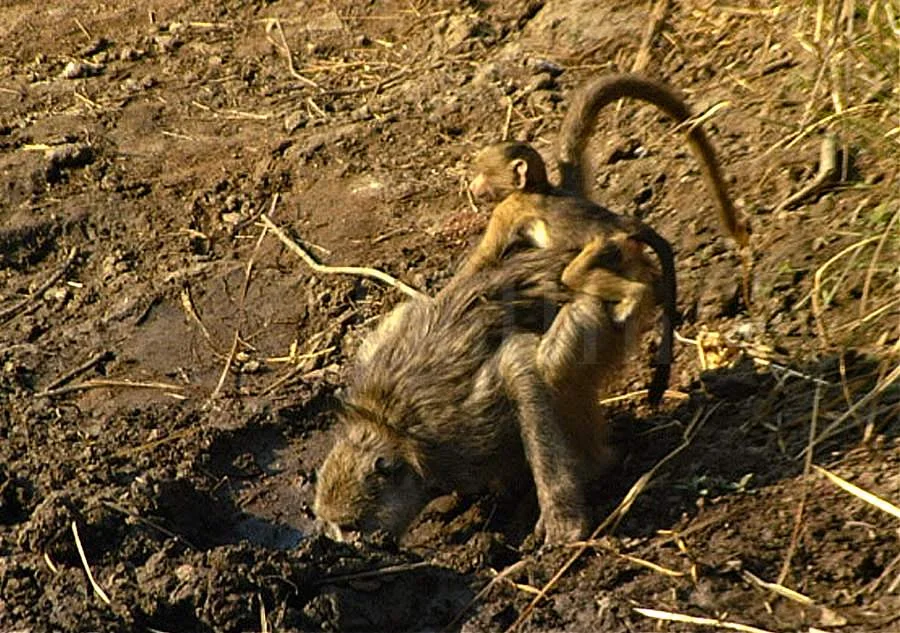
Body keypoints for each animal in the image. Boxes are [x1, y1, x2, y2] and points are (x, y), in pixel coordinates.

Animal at [314, 242, 662, 545]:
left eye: (350, 527)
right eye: (334, 527)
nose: (346, 544)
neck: (389, 426)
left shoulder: (463, 428)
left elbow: (521, 363)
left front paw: (563, 524)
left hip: (603, 311)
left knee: (550, 367)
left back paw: (591, 468)